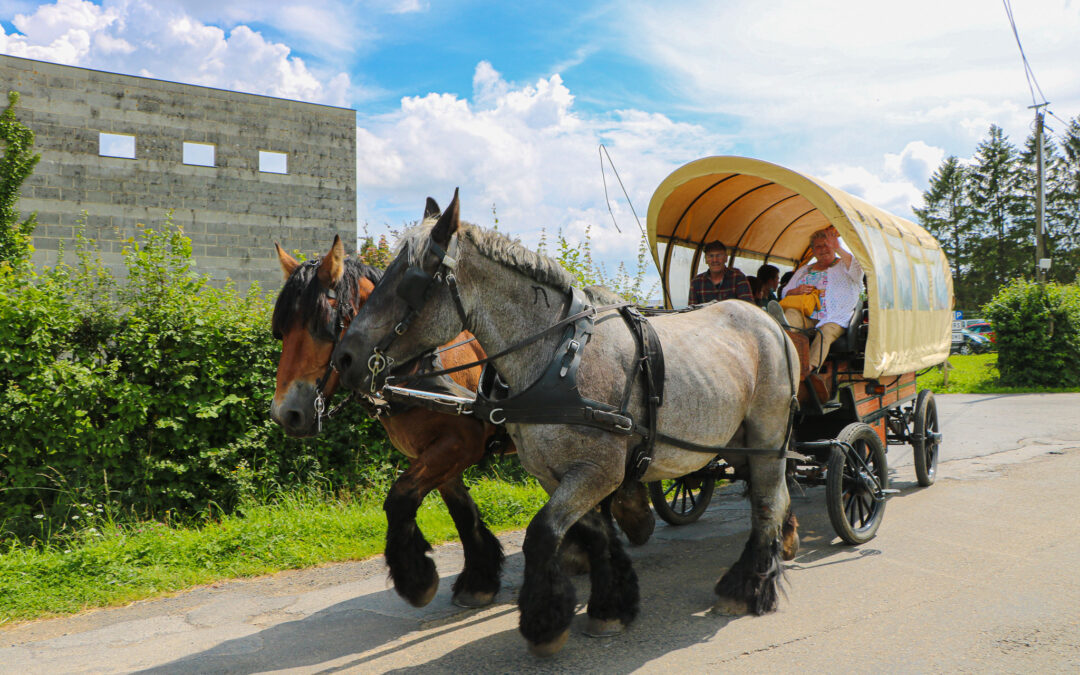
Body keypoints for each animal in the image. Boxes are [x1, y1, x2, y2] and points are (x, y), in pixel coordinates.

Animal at [270, 233, 656, 609]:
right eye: (282, 330)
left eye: (322, 325)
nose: (287, 413)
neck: (420, 365)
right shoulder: (433, 453)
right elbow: (460, 510)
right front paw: (479, 579)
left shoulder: (460, 444)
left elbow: (400, 498)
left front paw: (416, 579)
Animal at [336, 192, 803, 656]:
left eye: (412, 279)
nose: (344, 358)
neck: (559, 359)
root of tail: (769, 322)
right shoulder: (552, 471)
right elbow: (595, 533)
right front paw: (611, 606)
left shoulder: (598, 470)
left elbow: (541, 532)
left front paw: (545, 623)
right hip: (733, 441)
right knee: (768, 492)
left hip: (767, 433)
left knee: (767, 500)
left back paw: (747, 586)